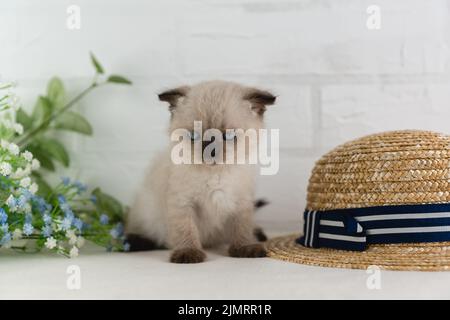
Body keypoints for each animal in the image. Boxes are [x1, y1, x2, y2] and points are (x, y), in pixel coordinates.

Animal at [125, 80, 276, 262]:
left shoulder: (241, 204)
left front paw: (244, 248)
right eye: (194, 136)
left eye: (228, 136)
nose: (210, 150)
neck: (216, 174)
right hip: (146, 212)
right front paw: (188, 253)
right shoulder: (183, 204)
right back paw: (133, 242)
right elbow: (186, 229)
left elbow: (242, 229)